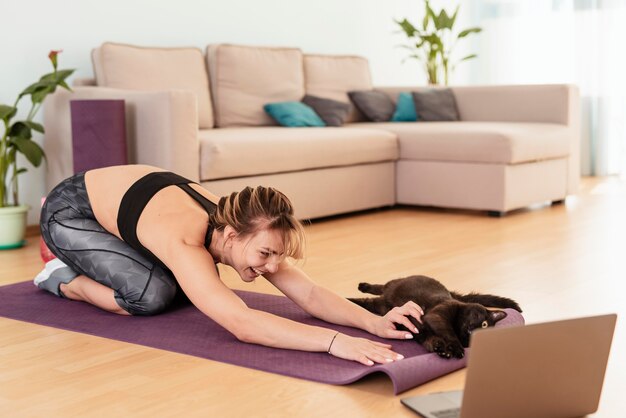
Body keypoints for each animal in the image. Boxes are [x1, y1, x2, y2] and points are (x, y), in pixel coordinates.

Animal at [348, 274, 520, 360]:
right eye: (484, 323)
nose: (475, 330)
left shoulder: (417, 331)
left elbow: (429, 339)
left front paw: (441, 349)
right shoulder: (436, 316)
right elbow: (448, 332)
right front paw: (456, 349)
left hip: (381, 307)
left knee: (365, 302)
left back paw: (349, 298)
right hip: (392, 286)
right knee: (380, 287)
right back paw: (362, 287)